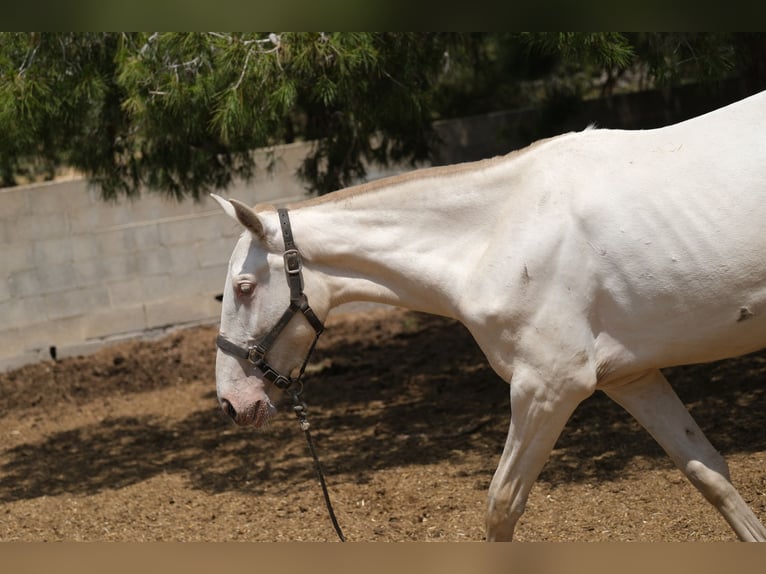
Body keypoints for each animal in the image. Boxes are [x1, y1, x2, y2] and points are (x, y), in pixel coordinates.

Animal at [212, 91, 766, 544]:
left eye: (244, 288)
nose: (232, 405)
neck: (496, 234)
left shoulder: (548, 387)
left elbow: (501, 506)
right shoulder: (632, 378)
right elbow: (710, 473)